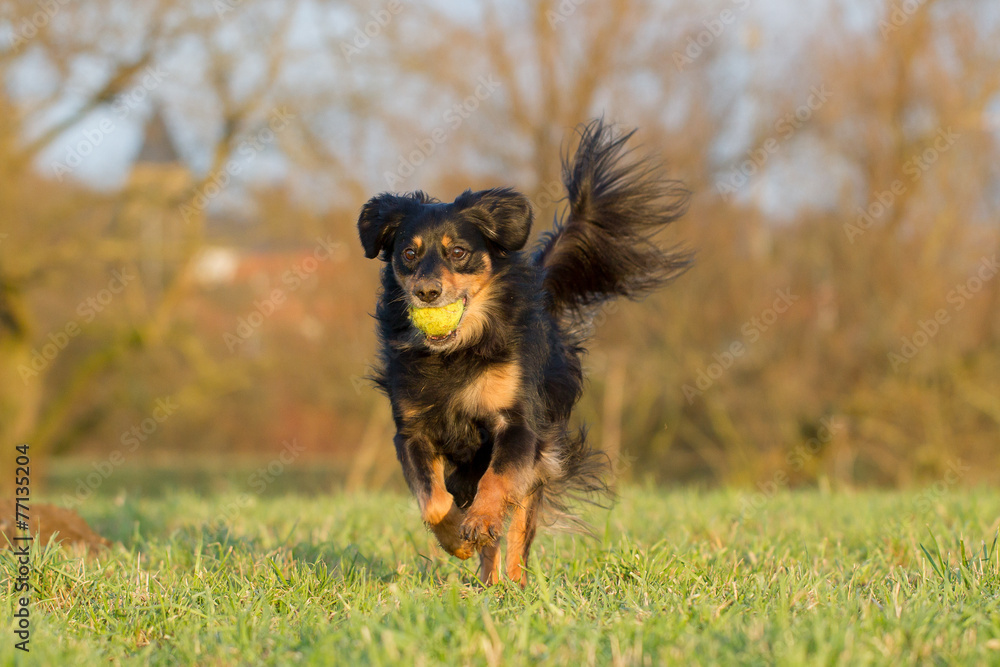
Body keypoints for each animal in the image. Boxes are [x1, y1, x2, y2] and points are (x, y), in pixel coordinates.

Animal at [356, 120, 692, 584]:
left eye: (458, 252)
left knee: (515, 527)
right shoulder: (412, 431)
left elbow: (498, 484)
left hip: (538, 461)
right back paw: (487, 577)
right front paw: (456, 538)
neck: (455, 353)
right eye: (408, 253)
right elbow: (433, 501)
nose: (427, 293)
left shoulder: (516, 425)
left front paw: (479, 522)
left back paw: (511, 582)